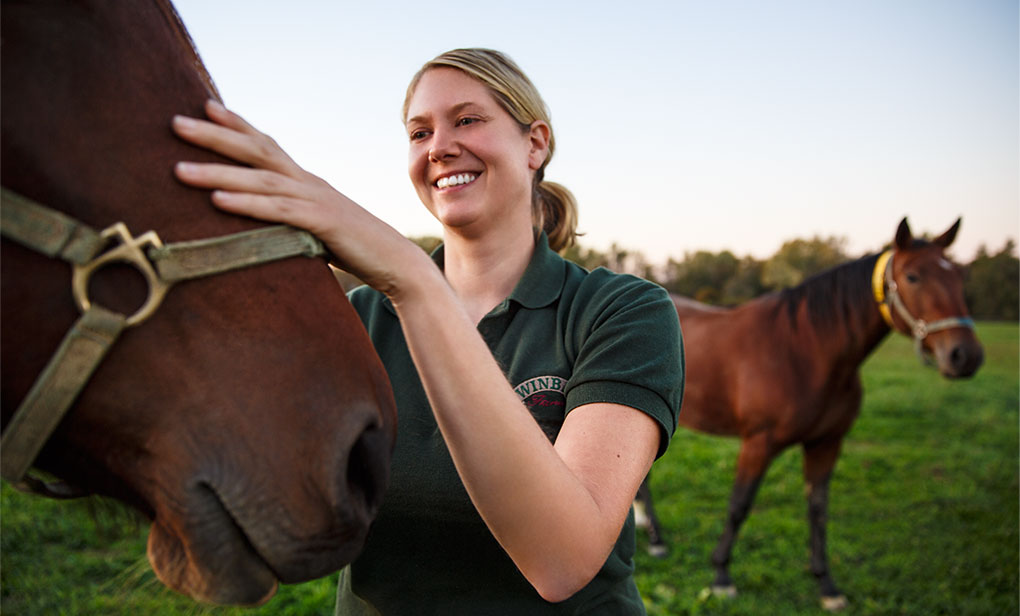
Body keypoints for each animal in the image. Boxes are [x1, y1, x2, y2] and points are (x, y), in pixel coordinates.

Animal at [636, 219, 979, 607]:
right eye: (913, 277)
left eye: (959, 277)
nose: (965, 355)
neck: (807, 351)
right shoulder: (759, 443)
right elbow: (739, 506)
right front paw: (722, 575)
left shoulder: (826, 443)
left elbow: (818, 510)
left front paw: (826, 585)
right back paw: (656, 539)